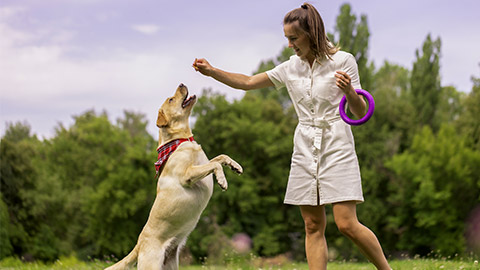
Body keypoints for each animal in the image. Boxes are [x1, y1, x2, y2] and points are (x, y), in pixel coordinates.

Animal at [104, 83, 240, 268]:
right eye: (171, 99)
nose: (182, 84)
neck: (182, 140)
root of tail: (139, 245)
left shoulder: (201, 164)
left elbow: (220, 157)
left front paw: (235, 166)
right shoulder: (186, 175)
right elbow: (215, 164)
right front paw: (222, 180)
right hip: (151, 264)